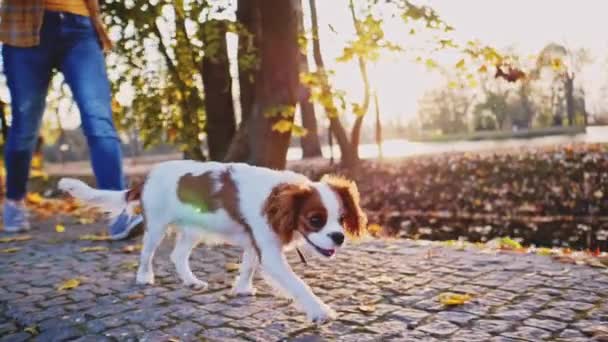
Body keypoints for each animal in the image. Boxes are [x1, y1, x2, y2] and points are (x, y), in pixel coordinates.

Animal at [59, 161, 366, 324]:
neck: (275, 199)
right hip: (156, 227)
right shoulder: (270, 251)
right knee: (147, 254)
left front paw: (242, 289)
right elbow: (299, 285)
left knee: (177, 256)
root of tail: (147, 178)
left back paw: (191, 282)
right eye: (315, 220)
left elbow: (248, 266)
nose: (338, 237)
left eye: (341, 219)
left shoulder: (254, 241)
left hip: (193, 229)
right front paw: (320, 311)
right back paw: (145, 278)